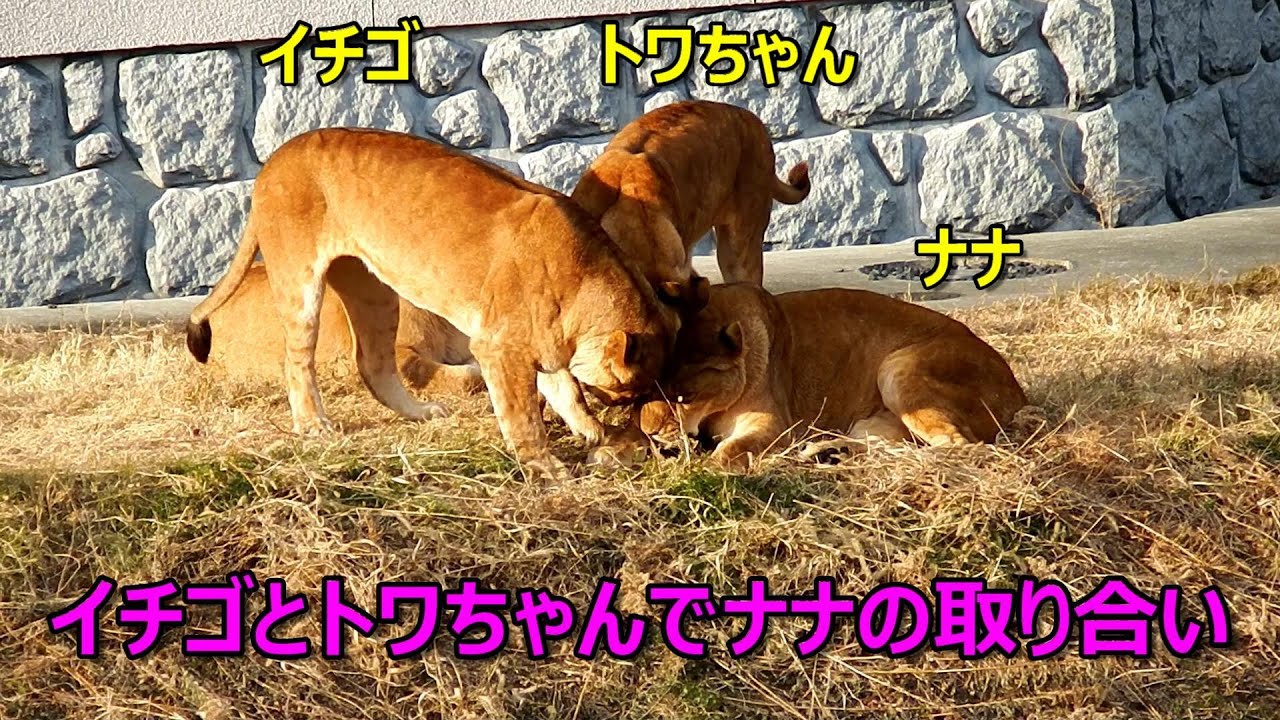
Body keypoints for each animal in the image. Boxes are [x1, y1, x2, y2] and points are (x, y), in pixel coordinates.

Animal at [636, 284, 1029, 469]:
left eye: (683, 397)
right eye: (646, 390)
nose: (648, 431)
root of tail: (1017, 391)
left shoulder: (776, 424)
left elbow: (732, 449)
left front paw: (705, 469)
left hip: (898, 368)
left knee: (958, 446)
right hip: (872, 420)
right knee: (896, 448)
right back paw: (824, 453)